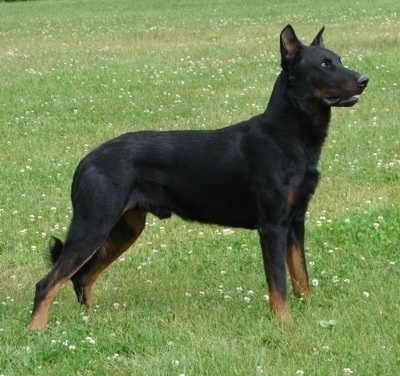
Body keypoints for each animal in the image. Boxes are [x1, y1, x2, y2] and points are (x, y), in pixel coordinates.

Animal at [29, 25, 368, 328]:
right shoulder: (272, 227)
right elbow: (279, 284)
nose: (365, 80)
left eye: (339, 59)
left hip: (125, 228)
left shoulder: (296, 222)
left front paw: (307, 312)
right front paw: (284, 324)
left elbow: (300, 275)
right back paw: (37, 330)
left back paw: (89, 323)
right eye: (324, 64)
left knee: (83, 276)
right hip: (94, 224)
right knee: (47, 283)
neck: (287, 136)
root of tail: (85, 161)